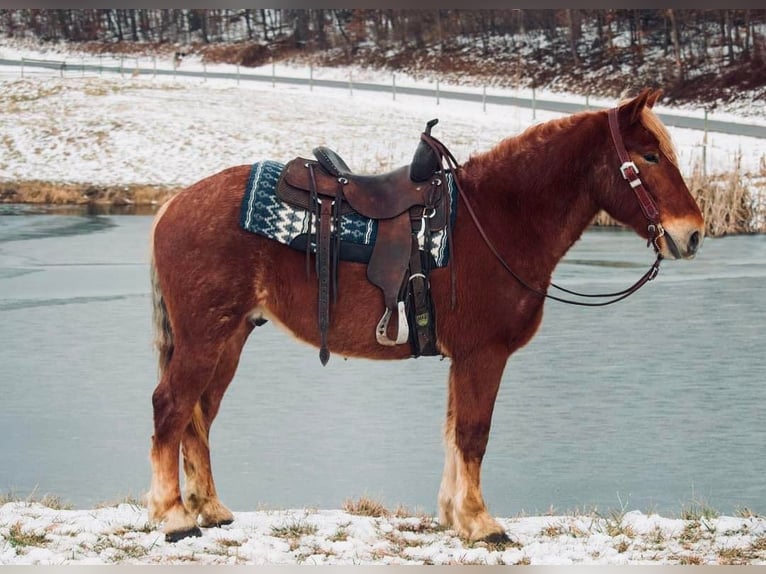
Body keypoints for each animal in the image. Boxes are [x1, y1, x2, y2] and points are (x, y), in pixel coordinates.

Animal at [147, 89, 704, 544]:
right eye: (649, 156)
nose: (694, 233)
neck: (497, 219)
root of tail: (173, 204)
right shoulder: (484, 354)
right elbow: (474, 433)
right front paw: (482, 524)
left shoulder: (464, 359)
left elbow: (455, 432)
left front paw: (456, 516)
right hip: (204, 339)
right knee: (170, 407)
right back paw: (174, 517)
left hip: (230, 338)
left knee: (199, 414)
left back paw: (210, 509)